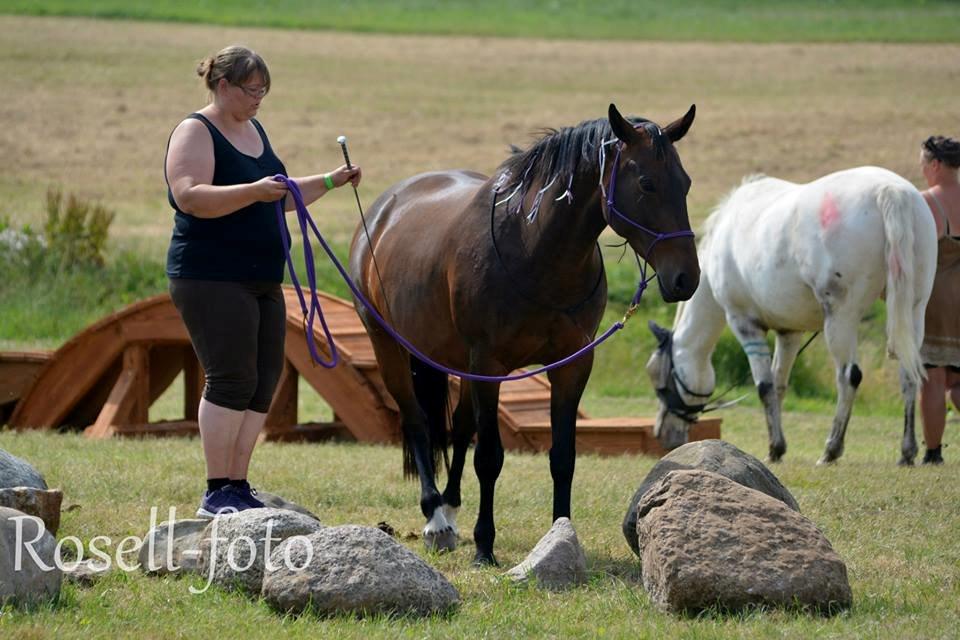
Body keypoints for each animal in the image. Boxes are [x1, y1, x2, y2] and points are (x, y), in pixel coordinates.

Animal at [350, 105, 696, 564]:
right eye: (646, 183)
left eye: (686, 183)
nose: (686, 279)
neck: (536, 254)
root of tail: (382, 211)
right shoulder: (489, 363)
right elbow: (489, 458)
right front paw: (484, 545)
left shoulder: (571, 364)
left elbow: (562, 456)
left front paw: (560, 538)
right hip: (389, 347)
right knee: (418, 422)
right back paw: (435, 518)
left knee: (460, 428)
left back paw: (451, 508)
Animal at [644, 165, 936, 464]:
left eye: (659, 380)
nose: (661, 433)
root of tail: (889, 191)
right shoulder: (789, 333)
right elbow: (779, 383)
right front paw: (777, 447)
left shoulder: (744, 323)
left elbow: (764, 386)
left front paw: (775, 446)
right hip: (914, 310)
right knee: (908, 374)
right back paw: (907, 451)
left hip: (841, 318)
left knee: (848, 376)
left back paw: (831, 449)